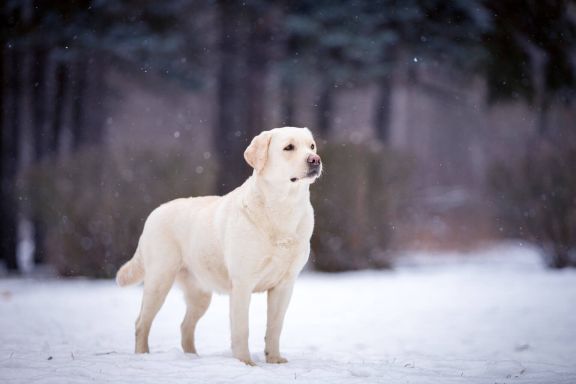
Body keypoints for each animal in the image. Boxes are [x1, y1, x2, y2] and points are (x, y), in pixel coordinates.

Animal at [115, 127, 322, 366]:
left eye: (312, 146)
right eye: (289, 147)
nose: (315, 159)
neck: (283, 208)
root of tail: (154, 212)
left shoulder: (284, 285)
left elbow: (275, 327)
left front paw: (274, 359)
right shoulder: (242, 284)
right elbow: (242, 329)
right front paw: (245, 362)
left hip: (200, 295)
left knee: (185, 326)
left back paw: (192, 357)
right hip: (159, 280)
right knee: (142, 323)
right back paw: (143, 355)